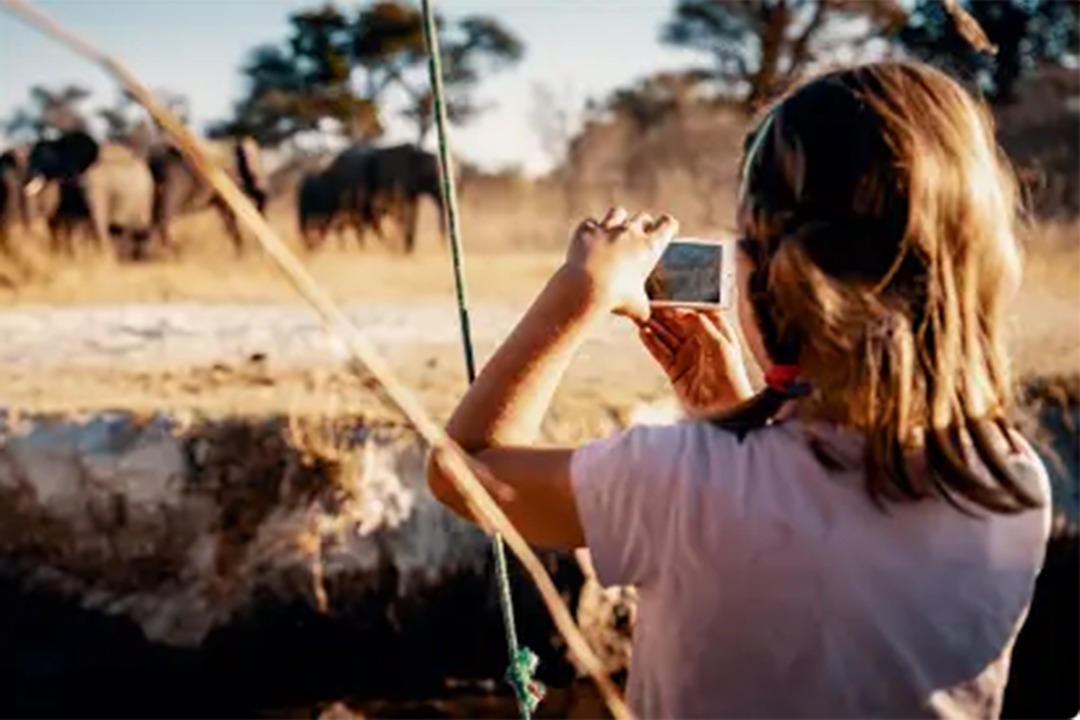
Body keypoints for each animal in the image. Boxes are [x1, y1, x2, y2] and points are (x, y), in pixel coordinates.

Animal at [24, 131, 154, 260]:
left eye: (50, 161)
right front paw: (65, 255)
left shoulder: (95, 183)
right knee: (117, 230)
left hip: (140, 202)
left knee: (132, 231)